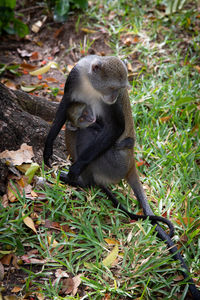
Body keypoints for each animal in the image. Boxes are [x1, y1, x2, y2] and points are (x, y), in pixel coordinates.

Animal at [43, 55, 200, 298]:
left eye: (119, 90)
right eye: (112, 88)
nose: (114, 96)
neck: (92, 83)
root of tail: (131, 164)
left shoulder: (111, 110)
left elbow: (115, 127)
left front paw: (75, 169)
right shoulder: (74, 76)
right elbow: (65, 104)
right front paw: (48, 145)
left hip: (114, 162)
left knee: (90, 133)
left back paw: (81, 180)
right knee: (74, 127)